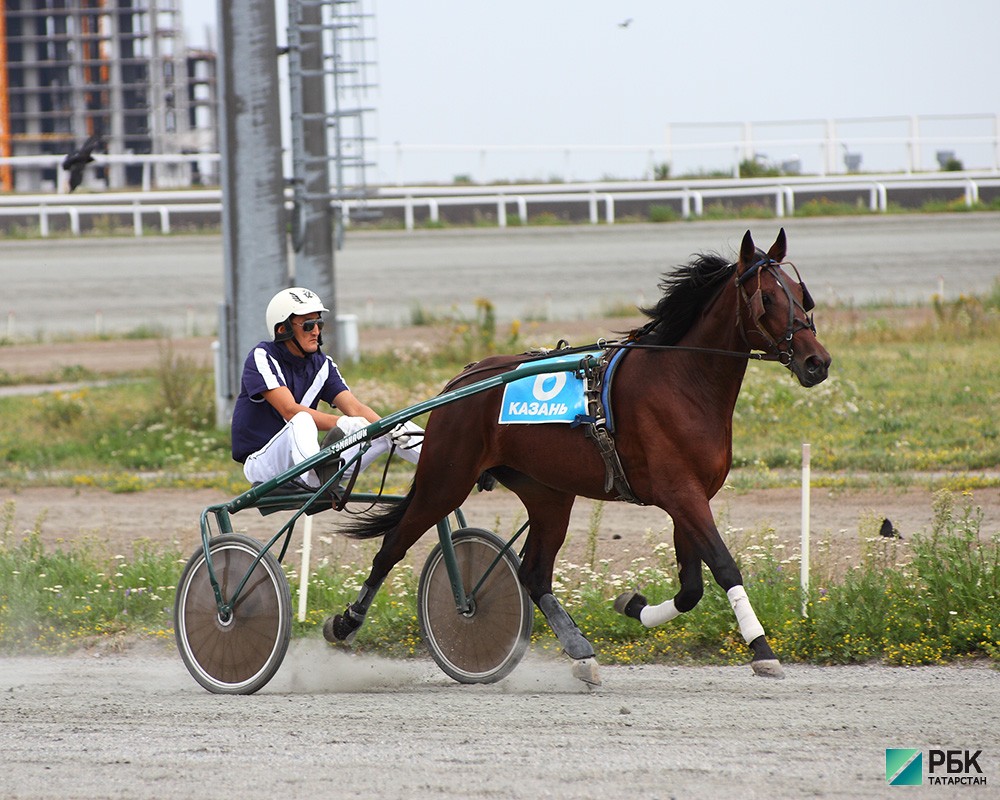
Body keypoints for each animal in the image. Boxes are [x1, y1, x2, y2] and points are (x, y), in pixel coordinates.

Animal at [326, 228, 828, 684]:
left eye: (801, 295)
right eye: (767, 298)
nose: (816, 362)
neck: (681, 380)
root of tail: (461, 380)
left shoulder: (690, 496)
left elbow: (691, 588)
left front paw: (634, 606)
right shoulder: (680, 493)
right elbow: (722, 566)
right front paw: (762, 649)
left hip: (548, 493)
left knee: (533, 573)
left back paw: (579, 651)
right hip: (446, 479)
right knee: (393, 547)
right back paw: (346, 621)